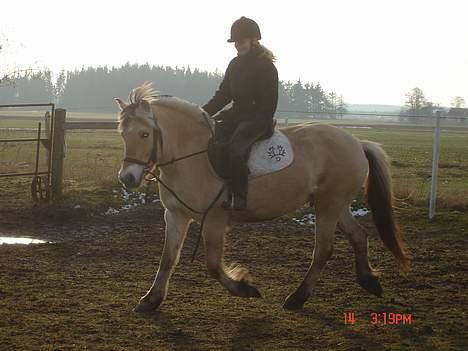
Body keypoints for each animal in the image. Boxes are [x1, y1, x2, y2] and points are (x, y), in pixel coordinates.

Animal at [115, 83, 408, 314]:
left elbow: (213, 265)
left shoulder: (214, 219)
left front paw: (244, 287)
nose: (127, 178)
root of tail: (357, 142)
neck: (191, 156)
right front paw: (151, 300)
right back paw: (369, 281)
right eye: (122, 134)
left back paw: (297, 297)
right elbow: (167, 258)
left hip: (329, 205)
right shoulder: (176, 215)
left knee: (323, 250)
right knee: (358, 236)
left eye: (145, 134)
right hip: (336, 204)